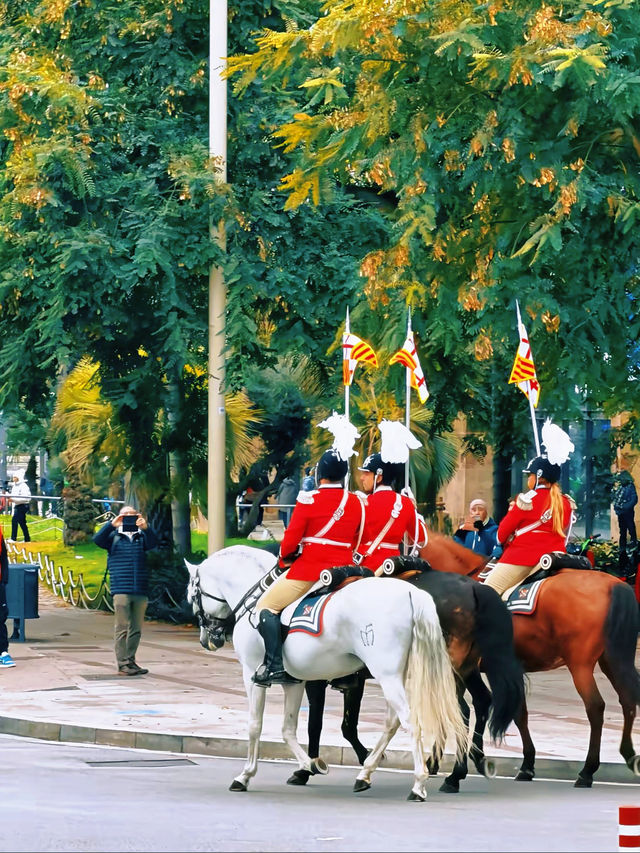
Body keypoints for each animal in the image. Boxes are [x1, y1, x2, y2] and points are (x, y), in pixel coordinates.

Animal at [185, 545, 469, 800]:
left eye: (191, 596)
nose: (208, 640)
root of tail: (411, 591)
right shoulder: (295, 681)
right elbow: (288, 727)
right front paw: (309, 765)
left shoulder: (252, 676)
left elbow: (256, 725)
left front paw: (245, 775)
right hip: (400, 675)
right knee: (394, 722)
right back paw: (365, 774)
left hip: (387, 675)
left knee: (412, 721)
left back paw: (418, 784)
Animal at [292, 556, 525, 793]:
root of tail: (475, 587)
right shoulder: (353, 682)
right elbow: (346, 726)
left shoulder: (317, 679)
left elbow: (316, 725)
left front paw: (309, 768)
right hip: (466, 668)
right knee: (480, 701)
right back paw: (471, 762)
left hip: (448, 670)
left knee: (461, 710)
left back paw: (454, 774)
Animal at [420, 531, 640, 788]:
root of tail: (614, 584)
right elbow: (519, 714)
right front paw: (526, 765)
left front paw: (440, 762)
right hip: (613, 660)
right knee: (627, 700)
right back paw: (628, 755)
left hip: (580, 665)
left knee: (595, 707)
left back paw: (587, 771)